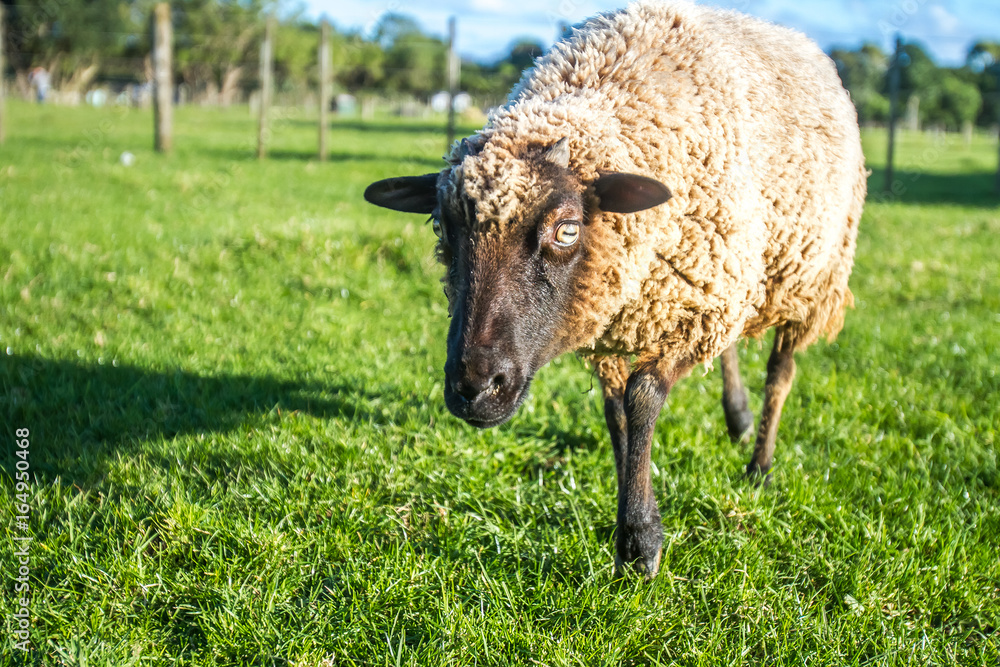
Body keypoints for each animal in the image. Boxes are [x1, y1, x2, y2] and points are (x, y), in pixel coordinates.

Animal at [363, 0, 866, 578]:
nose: (474, 387)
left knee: (781, 372)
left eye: (566, 230)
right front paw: (631, 499)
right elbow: (615, 411)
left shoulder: (691, 311)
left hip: (810, 277)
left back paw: (759, 463)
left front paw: (640, 540)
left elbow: (642, 399)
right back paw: (738, 417)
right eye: (443, 226)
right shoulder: (627, 314)